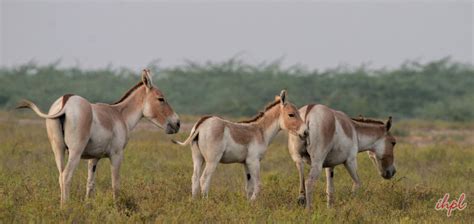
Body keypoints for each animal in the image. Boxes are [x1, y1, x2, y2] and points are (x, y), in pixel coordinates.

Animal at [16, 70, 180, 206]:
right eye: (161, 99)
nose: (177, 123)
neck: (120, 115)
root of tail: (65, 101)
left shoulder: (93, 158)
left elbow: (90, 183)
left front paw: (88, 205)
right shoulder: (116, 154)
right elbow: (115, 184)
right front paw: (117, 208)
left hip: (58, 149)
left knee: (60, 176)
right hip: (75, 151)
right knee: (66, 176)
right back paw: (66, 209)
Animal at [172, 90, 310, 200]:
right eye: (291, 114)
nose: (306, 132)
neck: (260, 131)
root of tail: (202, 123)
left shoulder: (245, 163)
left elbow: (249, 187)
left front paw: (247, 204)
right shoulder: (254, 161)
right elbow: (258, 185)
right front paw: (253, 203)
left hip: (197, 157)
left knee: (195, 178)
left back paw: (194, 202)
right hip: (212, 160)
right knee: (204, 179)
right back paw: (205, 203)